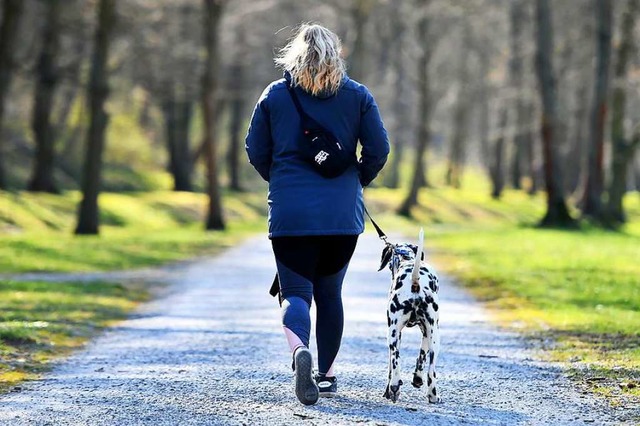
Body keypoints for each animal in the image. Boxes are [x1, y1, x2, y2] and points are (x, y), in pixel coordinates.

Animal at [380, 230, 440, 402]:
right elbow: (421, 357)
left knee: (395, 364)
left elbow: (390, 368)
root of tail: (415, 282)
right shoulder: (426, 333)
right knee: (431, 371)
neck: (407, 259)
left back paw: (394, 387)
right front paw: (417, 379)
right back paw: (433, 395)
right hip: (434, 338)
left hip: (393, 335)